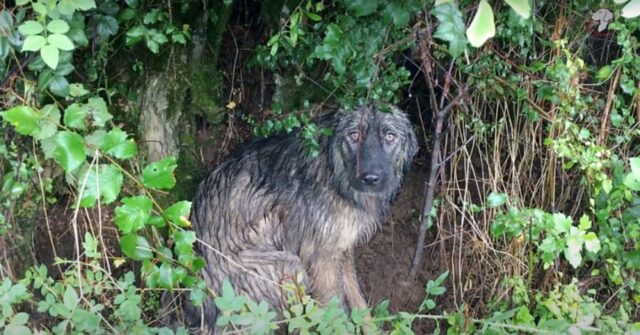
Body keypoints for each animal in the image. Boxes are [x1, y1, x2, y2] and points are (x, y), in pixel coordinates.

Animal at [189, 105, 420, 334]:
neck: (334, 171)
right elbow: (335, 314)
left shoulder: (341, 249)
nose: (370, 178)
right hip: (287, 265)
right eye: (354, 135)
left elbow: (358, 300)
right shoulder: (321, 258)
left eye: (390, 136)